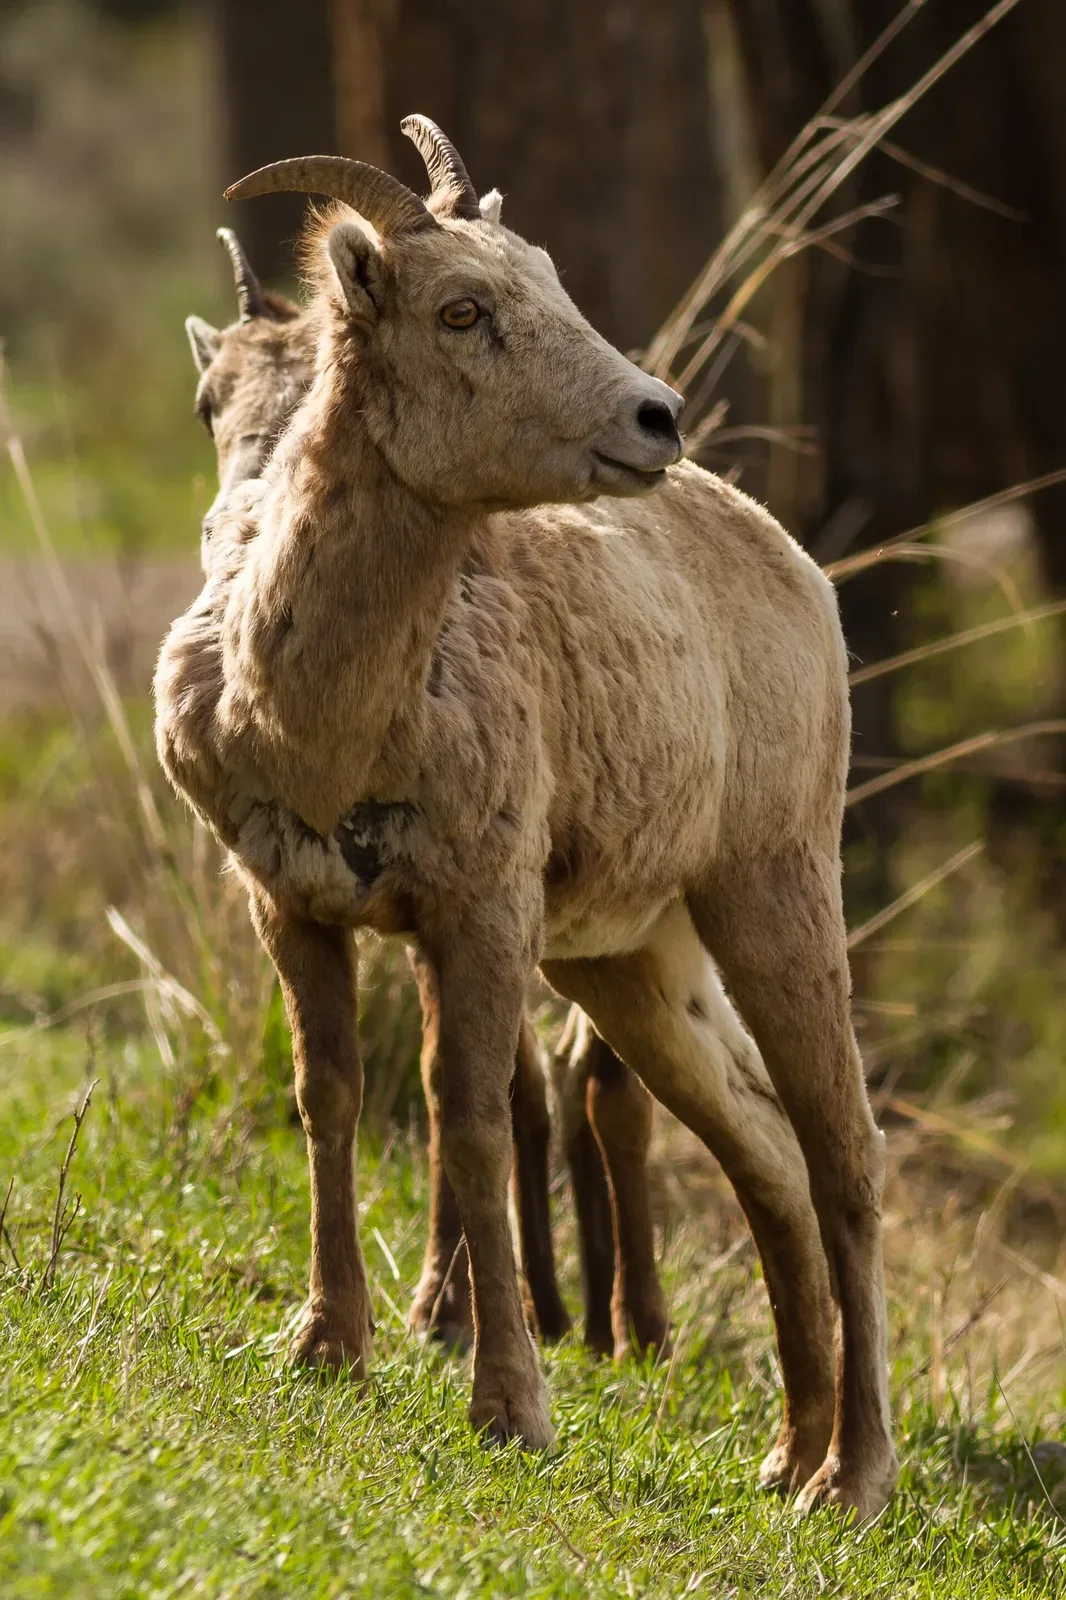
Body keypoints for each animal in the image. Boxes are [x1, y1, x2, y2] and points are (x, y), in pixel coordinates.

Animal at [183, 226, 669, 1359]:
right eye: (208, 404)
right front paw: (421, 1315)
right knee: (557, 1075)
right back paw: (566, 1314)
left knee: (602, 1082)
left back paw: (632, 1327)